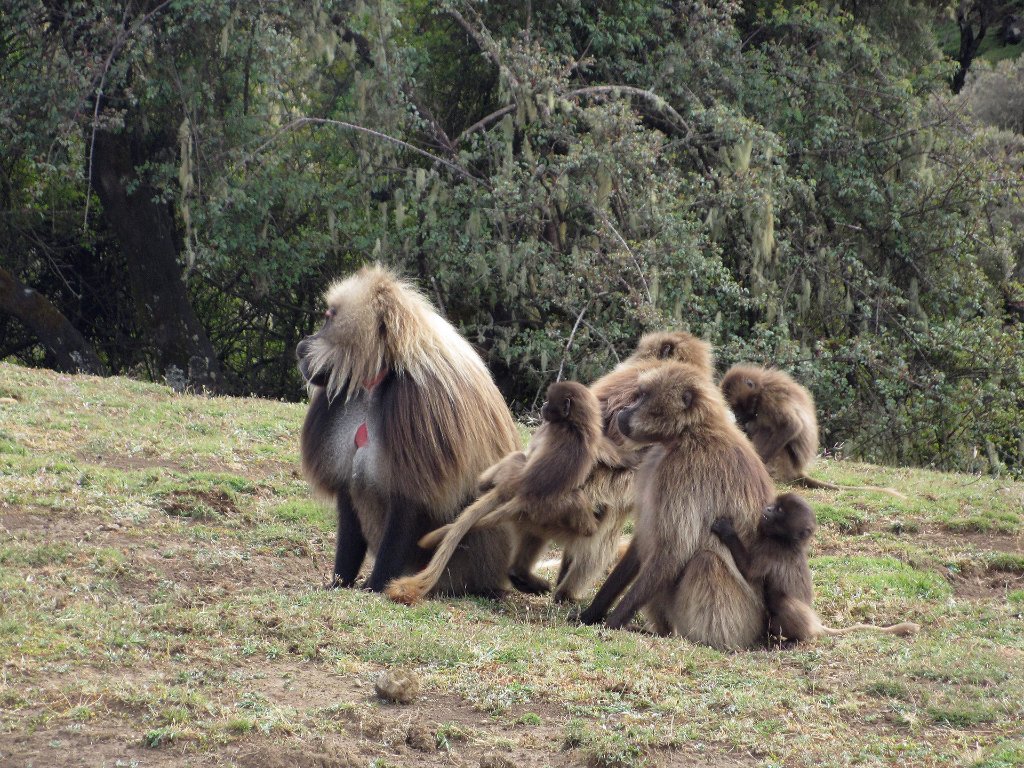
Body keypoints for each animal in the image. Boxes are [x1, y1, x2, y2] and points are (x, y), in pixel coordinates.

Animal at [581, 362, 770, 651]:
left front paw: (613, 622)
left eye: (643, 396)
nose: (623, 411)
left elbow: (673, 548)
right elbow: (645, 540)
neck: (686, 433)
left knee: (705, 560)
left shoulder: (683, 470)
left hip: (744, 616)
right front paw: (591, 613)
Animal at [720, 364, 905, 499]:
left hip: (782, 459)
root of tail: (796, 471)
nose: (739, 417)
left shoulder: (771, 398)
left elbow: (791, 426)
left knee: (765, 428)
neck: (761, 389)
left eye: (738, 406)